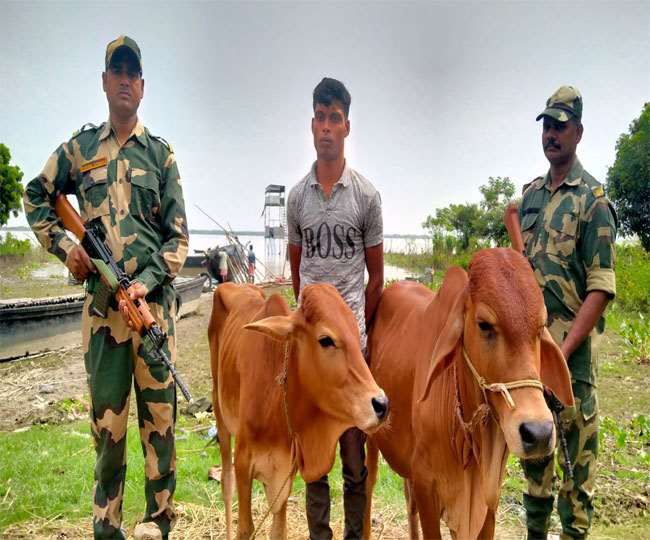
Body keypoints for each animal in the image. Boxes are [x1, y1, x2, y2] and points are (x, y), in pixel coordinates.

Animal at [210, 280, 388, 536]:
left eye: (357, 335)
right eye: (326, 340)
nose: (382, 404)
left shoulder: (283, 474)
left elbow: (278, 531)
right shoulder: (243, 465)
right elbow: (245, 528)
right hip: (220, 412)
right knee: (226, 482)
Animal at [364, 250, 572, 540]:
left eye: (541, 327)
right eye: (484, 324)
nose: (539, 433)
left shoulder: (488, 498)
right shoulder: (427, 487)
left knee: (407, 499)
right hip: (372, 436)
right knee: (369, 483)